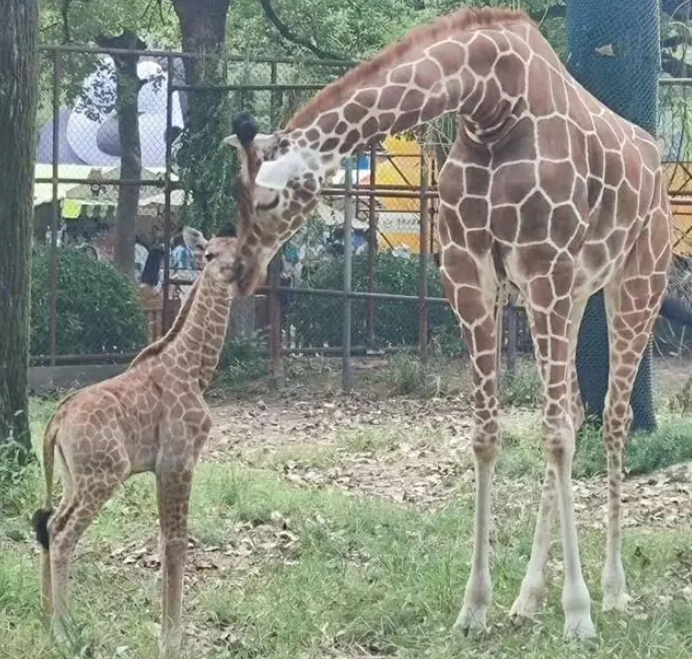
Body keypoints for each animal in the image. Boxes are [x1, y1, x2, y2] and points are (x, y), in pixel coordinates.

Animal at [33, 227, 238, 659]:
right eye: (208, 254)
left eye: (238, 252)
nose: (229, 273)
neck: (194, 368)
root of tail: (56, 422)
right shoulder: (179, 459)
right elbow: (176, 541)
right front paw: (172, 640)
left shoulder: (164, 466)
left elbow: (164, 540)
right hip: (104, 475)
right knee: (61, 533)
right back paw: (63, 633)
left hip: (73, 479)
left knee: (48, 523)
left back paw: (47, 618)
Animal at [224, 7, 672, 640]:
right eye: (236, 194)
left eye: (264, 201)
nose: (241, 270)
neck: (490, 103)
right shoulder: (468, 276)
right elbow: (488, 436)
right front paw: (476, 607)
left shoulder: (545, 268)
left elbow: (556, 435)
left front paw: (578, 612)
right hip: (578, 292)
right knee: (573, 409)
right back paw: (527, 598)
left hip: (637, 280)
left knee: (610, 416)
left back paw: (611, 591)